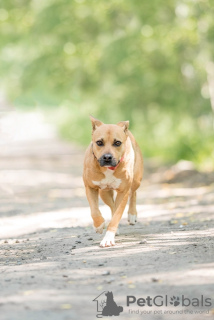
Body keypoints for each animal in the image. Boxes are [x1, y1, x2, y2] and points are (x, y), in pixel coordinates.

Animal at [83, 116, 143, 246]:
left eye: (117, 143)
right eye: (99, 142)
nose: (107, 157)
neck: (109, 169)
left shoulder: (123, 192)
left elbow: (116, 216)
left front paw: (108, 238)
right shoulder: (90, 187)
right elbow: (94, 211)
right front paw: (99, 225)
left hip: (136, 180)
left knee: (133, 192)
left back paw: (132, 214)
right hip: (104, 193)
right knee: (112, 206)